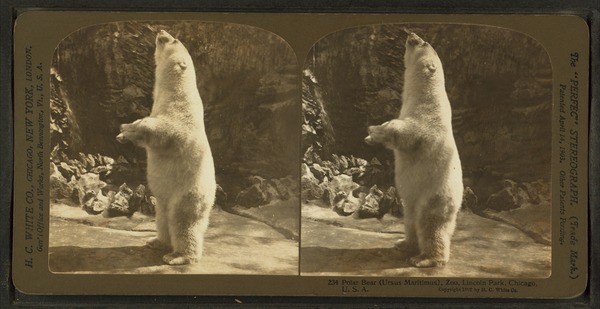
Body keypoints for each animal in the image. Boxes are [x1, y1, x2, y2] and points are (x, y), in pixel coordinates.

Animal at [116, 29, 217, 264]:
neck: (175, 90)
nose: (161, 31)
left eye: (175, 40)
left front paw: (129, 128)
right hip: (164, 200)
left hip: (188, 194)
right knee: (162, 218)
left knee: (183, 222)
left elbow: (165, 130)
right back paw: (156, 242)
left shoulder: (182, 113)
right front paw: (124, 131)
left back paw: (178, 257)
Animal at [366, 31, 464, 268]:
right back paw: (403, 243)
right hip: (415, 202)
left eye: (424, 43)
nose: (411, 34)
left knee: (430, 225)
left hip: (435, 195)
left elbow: (405, 132)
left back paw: (425, 259)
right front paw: (371, 133)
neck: (427, 96)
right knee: (410, 220)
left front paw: (374, 131)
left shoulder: (427, 120)